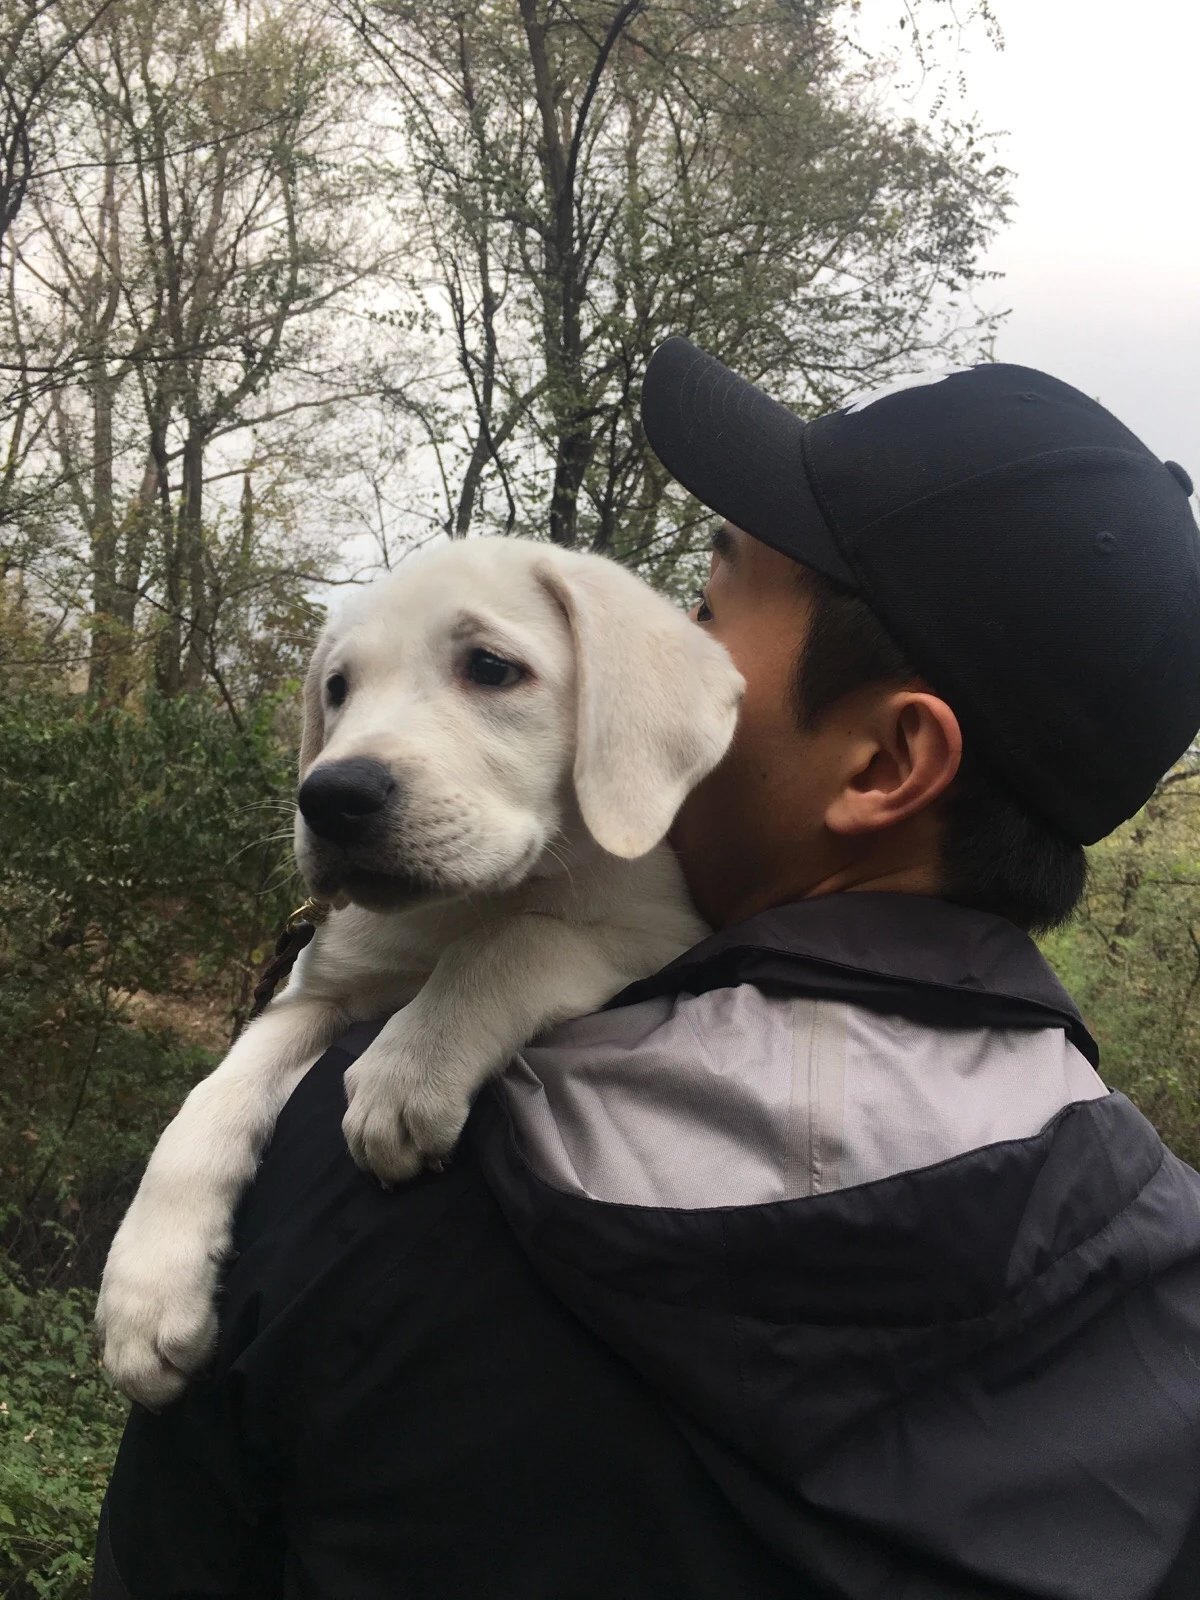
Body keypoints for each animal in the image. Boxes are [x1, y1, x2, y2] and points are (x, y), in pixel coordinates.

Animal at [95, 536, 744, 1408]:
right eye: (337, 688)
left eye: (492, 668)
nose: (329, 797)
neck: (454, 907)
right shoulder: (313, 992)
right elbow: (210, 1100)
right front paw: (147, 1286)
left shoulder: (660, 937)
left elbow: (515, 941)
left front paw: (411, 1065)